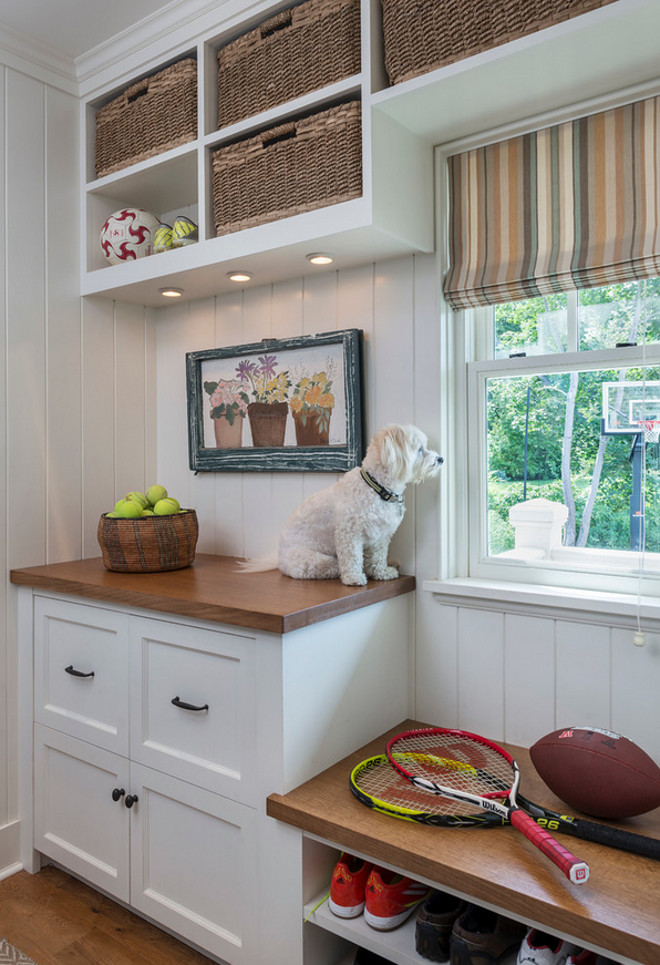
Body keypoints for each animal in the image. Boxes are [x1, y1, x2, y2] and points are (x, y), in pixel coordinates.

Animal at [240, 424, 440, 588]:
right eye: (420, 450)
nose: (441, 459)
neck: (376, 487)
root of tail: (279, 560)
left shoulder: (380, 537)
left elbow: (378, 557)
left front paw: (382, 573)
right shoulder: (349, 534)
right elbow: (352, 557)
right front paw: (354, 578)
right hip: (313, 560)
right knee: (329, 567)